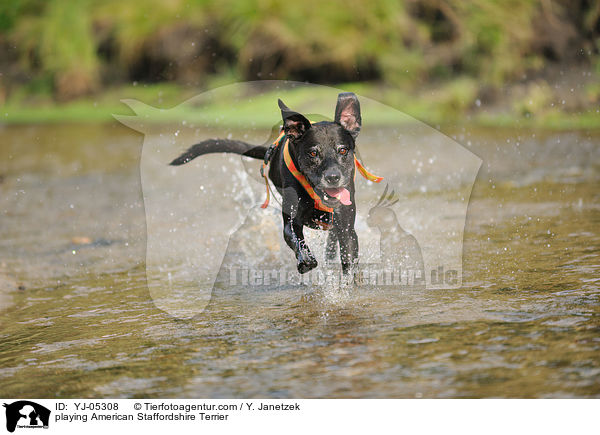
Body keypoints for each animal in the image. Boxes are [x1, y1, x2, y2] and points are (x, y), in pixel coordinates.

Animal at [169, 93, 366, 276]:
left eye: (343, 150)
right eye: (313, 153)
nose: (333, 177)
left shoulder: (347, 227)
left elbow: (349, 255)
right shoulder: (291, 221)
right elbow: (295, 238)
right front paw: (306, 260)